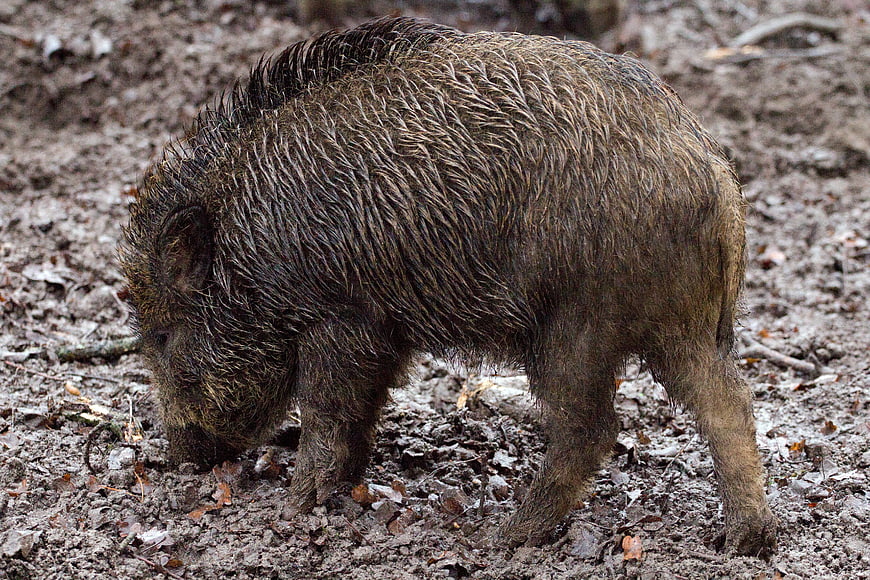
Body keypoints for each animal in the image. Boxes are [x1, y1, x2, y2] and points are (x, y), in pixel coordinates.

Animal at [121, 17, 776, 555]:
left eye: (162, 334)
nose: (178, 458)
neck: (247, 250)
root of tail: (711, 168)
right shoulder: (383, 332)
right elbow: (360, 414)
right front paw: (345, 488)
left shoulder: (338, 320)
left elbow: (326, 414)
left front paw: (296, 508)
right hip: (680, 323)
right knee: (728, 405)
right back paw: (744, 542)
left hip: (577, 325)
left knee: (591, 431)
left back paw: (509, 536)